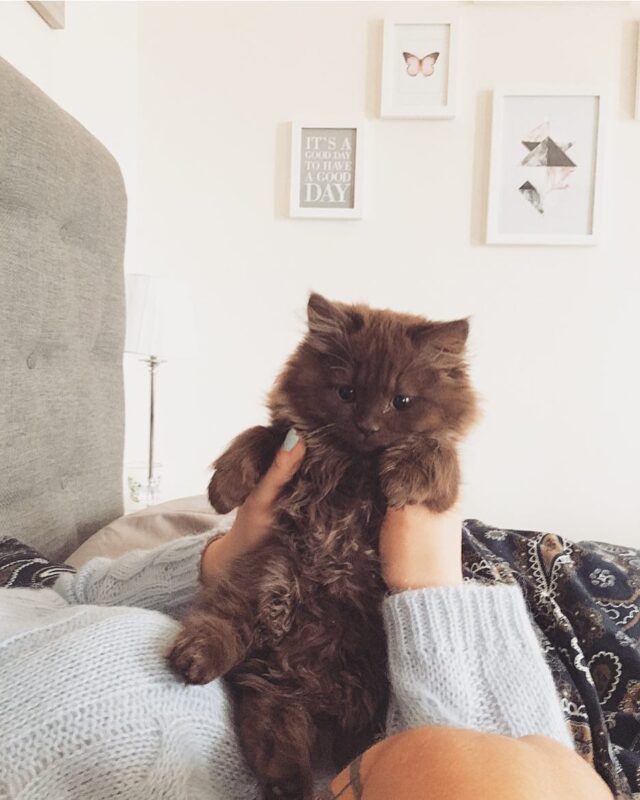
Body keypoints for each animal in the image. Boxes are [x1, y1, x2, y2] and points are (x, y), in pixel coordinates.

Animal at [168, 294, 478, 800]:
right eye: (346, 392)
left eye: (401, 401)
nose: (368, 426)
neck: (353, 464)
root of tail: (315, 687)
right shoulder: (290, 440)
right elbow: (259, 435)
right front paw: (224, 488)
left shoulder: (444, 490)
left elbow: (434, 451)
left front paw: (403, 475)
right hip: (266, 583)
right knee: (225, 641)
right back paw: (194, 664)